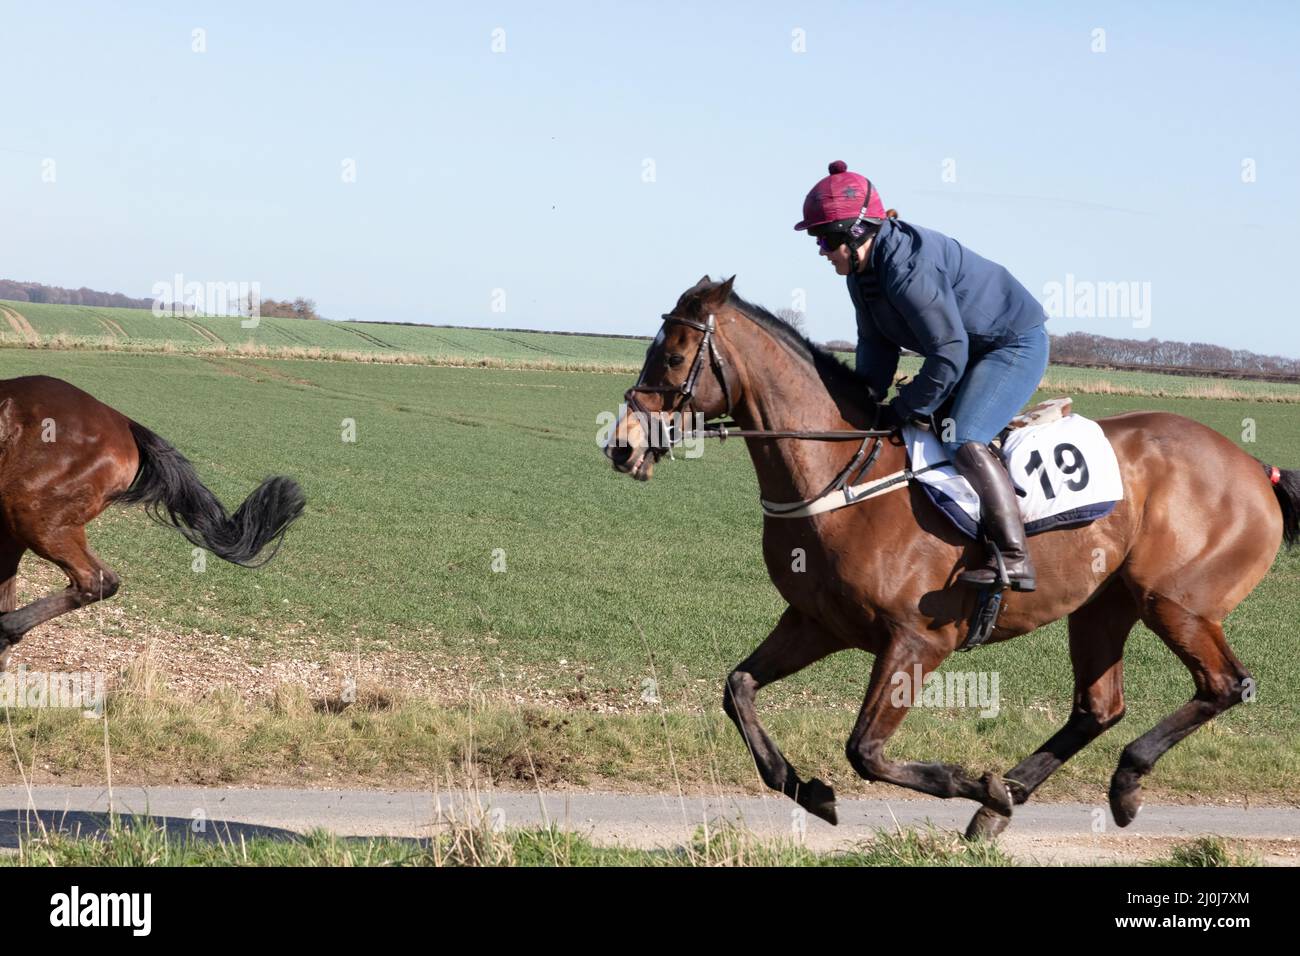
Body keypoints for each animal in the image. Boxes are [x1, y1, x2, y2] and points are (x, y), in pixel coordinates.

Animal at [603, 274, 1294, 837]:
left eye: (672, 355)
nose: (622, 444)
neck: (841, 477)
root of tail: (1253, 466)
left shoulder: (918, 640)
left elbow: (865, 751)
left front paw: (974, 782)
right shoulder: (818, 623)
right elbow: (738, 688)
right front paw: (809, 790)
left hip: (1176, 603)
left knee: (1225, 685)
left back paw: (1114, 782)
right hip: (1103, 606)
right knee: (1099, 708)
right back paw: (1002, 806)